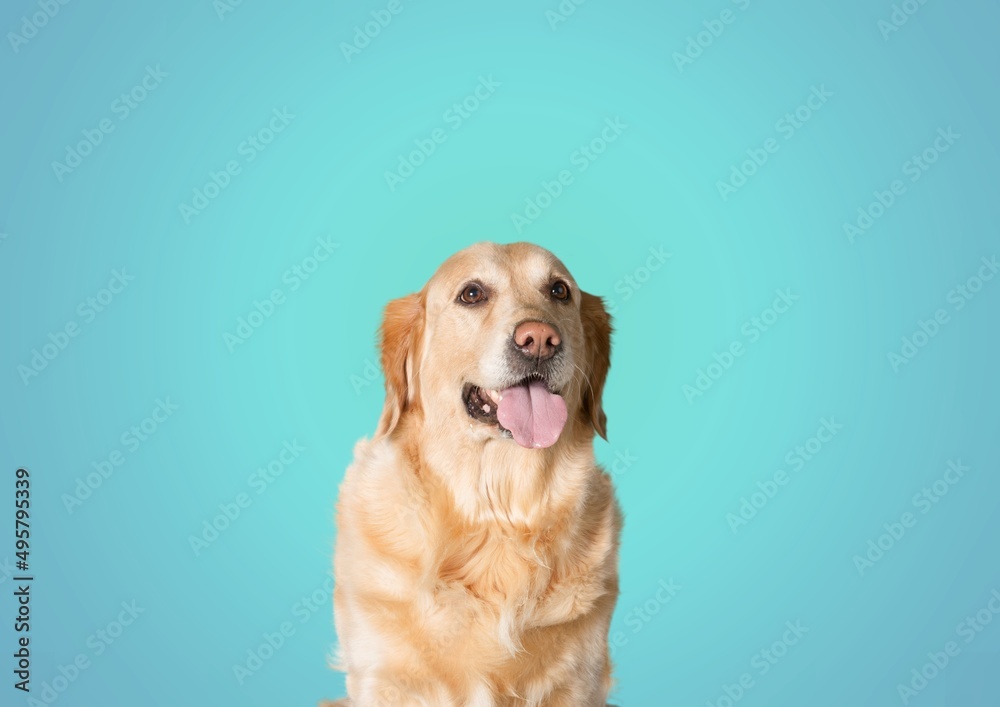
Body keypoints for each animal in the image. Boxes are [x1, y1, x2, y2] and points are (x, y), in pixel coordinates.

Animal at [328, 241, 620, 704]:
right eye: (472, 294)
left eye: (559, 291)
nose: (540, 340)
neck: (496, 513)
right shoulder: (385, 676)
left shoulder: (577, 680)